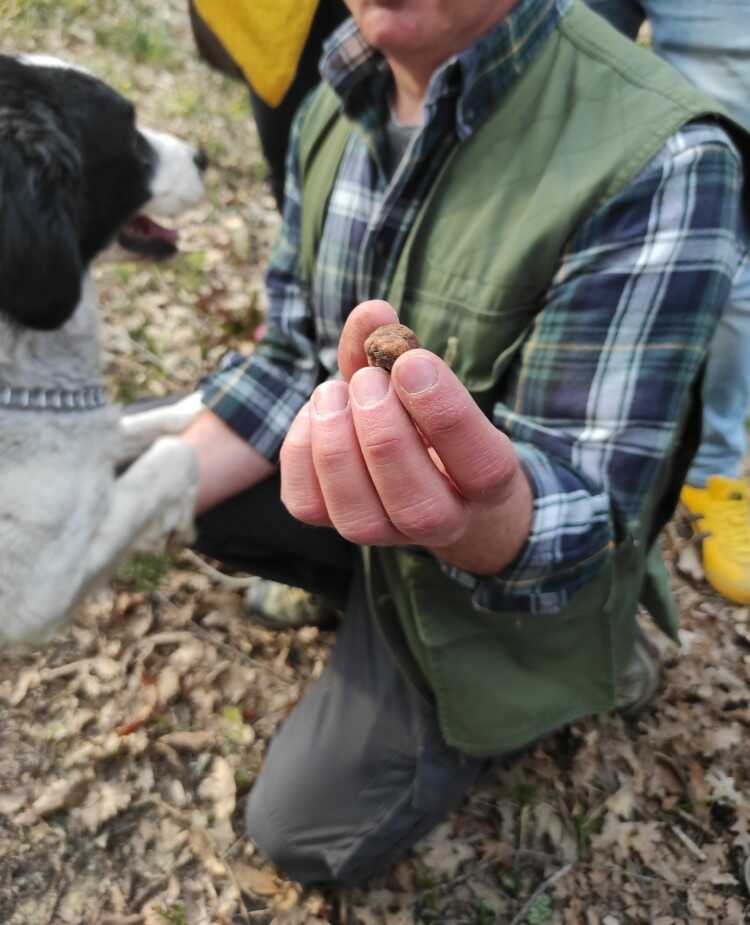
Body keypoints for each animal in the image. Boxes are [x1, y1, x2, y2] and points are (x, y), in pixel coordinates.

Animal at [0, 52, 209, 644]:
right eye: (131, 133)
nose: (202, 155)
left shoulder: (89, 437)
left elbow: (138, 424)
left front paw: (200, 404)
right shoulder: (40, 592)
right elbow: (174, 457)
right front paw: (178, 514)